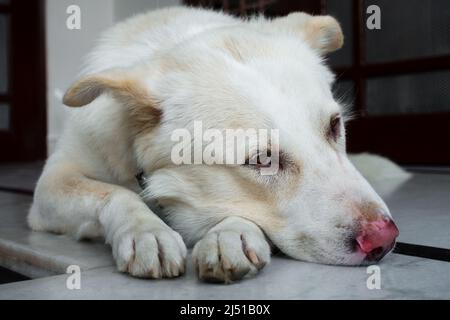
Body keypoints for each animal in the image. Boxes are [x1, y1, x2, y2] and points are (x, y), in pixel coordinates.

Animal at [29, 6, 400, 282]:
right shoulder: (51, 184)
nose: (384, 238)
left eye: (334, 125)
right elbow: (112, 193)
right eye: (262, 160)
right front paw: (146, 231)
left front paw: (230, 235)